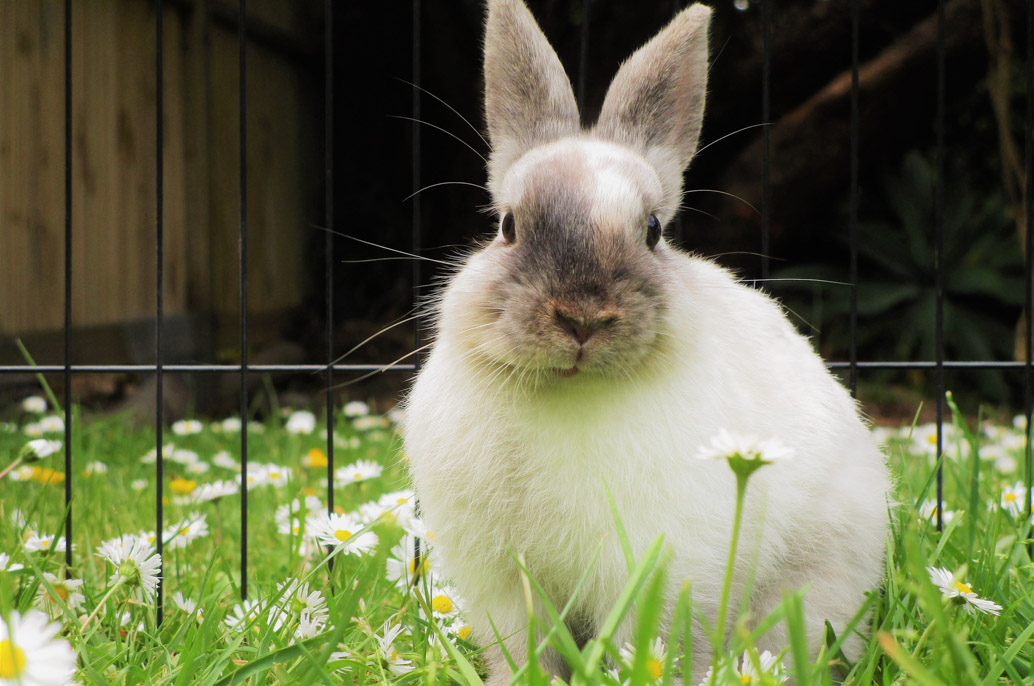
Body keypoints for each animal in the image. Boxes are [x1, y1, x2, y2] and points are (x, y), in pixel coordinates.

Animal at [401, 2, 889, 682]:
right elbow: (523, 648)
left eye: (654, 230)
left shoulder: (661, 566)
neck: (569, 393)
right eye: (507, 226)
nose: (582, 317)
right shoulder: (502, 582)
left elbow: (651, 638)